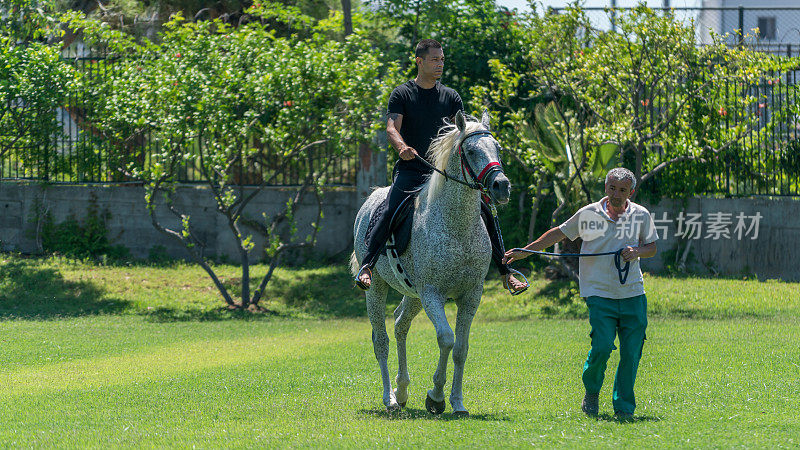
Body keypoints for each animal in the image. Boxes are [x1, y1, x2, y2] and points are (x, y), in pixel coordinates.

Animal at [352, 110, 512, 416]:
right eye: (471, 151)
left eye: (497, 148)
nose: (501, 186)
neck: (456, 227)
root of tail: (371, 199)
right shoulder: (432, 294)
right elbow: (446, 339)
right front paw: (436, 397)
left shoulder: (470, 295)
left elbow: (461, 348)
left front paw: (458, 402)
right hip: (378, 289)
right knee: (382, 341)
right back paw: (389, 398)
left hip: (413, 296)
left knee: (400, 325)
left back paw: (402, 390)